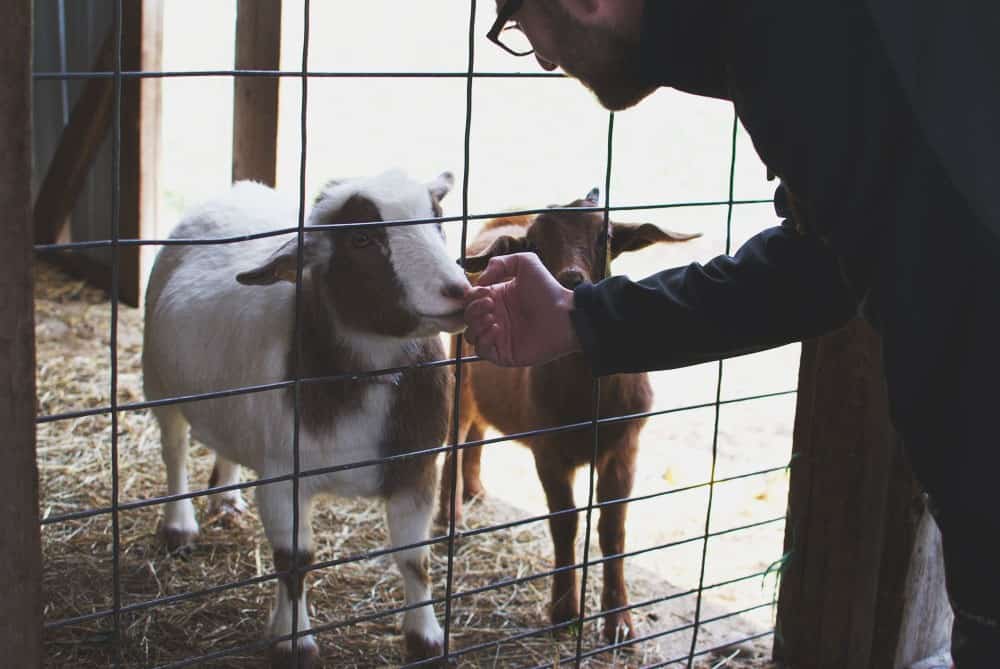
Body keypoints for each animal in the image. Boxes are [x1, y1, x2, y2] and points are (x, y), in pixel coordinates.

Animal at [144, 170, 468, 664]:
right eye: (361, 238)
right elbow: (294, 563)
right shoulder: (284, 478)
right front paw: (295, 642)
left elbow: (416, 559)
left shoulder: (415, 469)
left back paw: (226, 499)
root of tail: (240, 188)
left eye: (437, 217)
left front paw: (426, 640)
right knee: (174, 448)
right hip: (158, 379)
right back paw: (179, 526)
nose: (459, 291)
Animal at [442, 188, 700, 640]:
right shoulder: (548, 450)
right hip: (460, 376)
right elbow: (565, 523)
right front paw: (564, 611)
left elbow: (613, 529)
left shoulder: (625, 447)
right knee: (454, 437)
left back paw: (474, 490)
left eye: (605, 236)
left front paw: (619, 623)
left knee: (477, 430)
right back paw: (449, 516)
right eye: (534, 245)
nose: (572, 281)